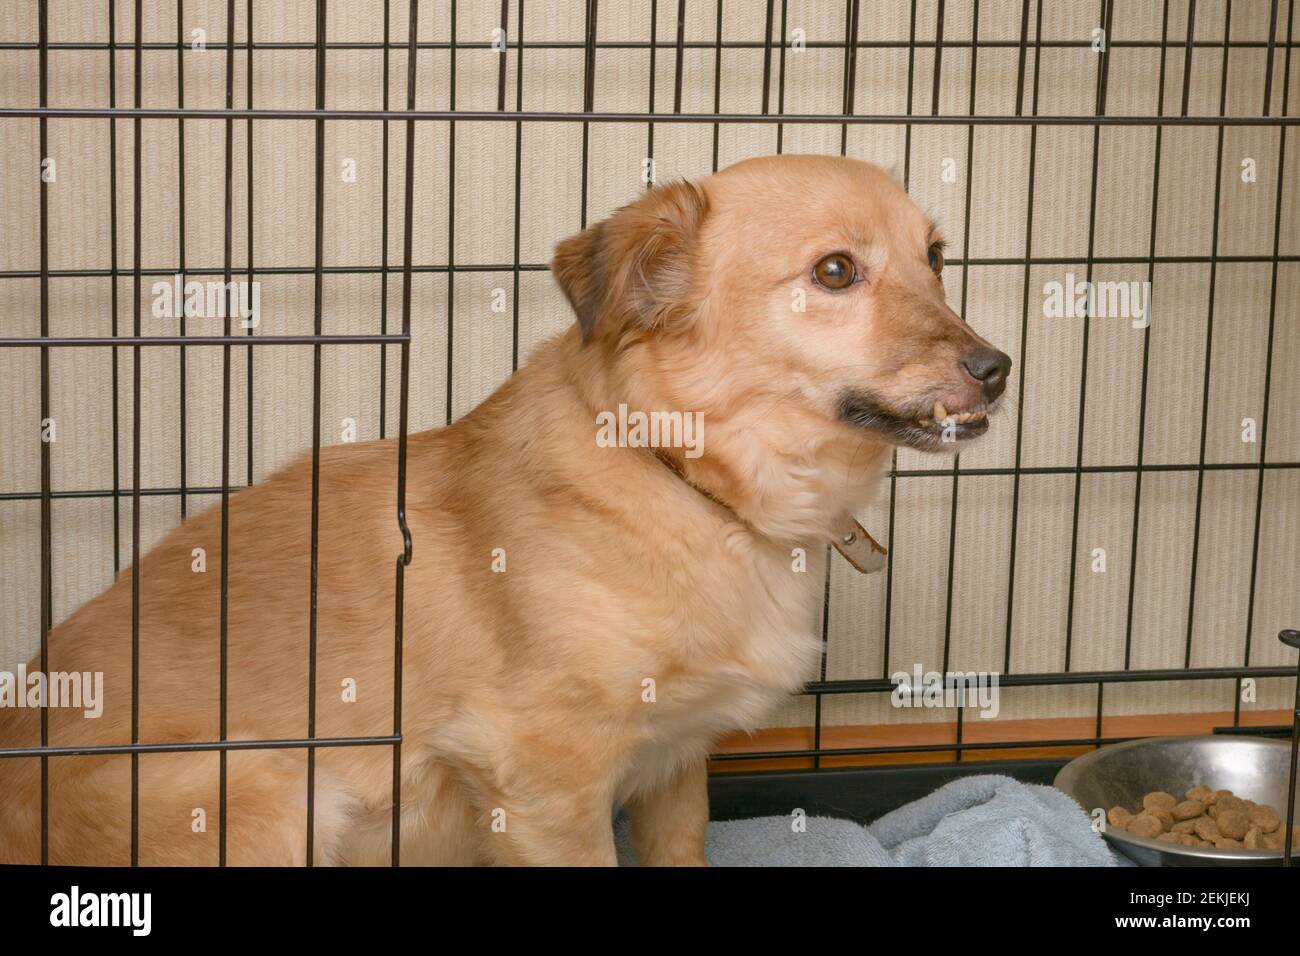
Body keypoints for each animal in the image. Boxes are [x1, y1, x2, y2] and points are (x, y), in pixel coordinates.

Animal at [0, 153, 1008, 863]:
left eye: (936, 257)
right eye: (835, 271)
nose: (998, 368)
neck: (683, 478)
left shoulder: (677, 764)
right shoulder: (543, 783)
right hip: (266, 795)